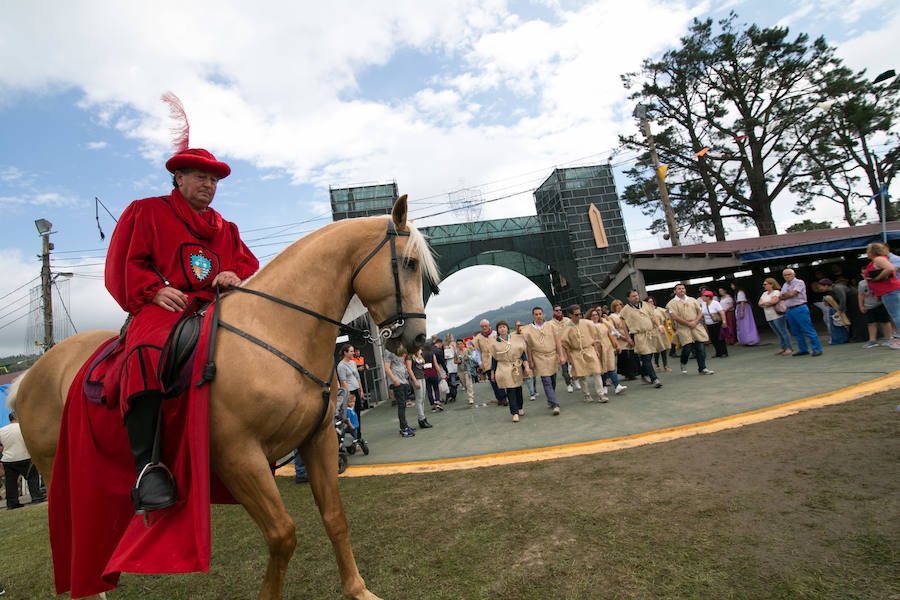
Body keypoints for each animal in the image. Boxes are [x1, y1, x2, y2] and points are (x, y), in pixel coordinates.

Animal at [9, 195, 440, 596]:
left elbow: (335, 518)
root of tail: (26, 379)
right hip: (55, 468)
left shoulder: (317, 439)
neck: (274, 330)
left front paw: (357, 589)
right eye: (408, 264)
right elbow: (282, 535)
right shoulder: (238, 457)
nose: (417, 338)